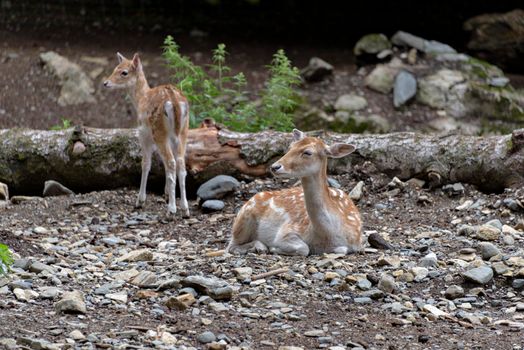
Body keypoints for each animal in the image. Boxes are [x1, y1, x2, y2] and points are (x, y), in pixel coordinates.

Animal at [104, 52, 190, 217]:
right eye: (115, 68)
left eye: (124, 72)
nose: (105, 83)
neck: (140, 100)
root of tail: (175, 102)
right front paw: (166, 194)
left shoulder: (143, 134)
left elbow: (145, 163)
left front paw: (140, 201)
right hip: (183, 132)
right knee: (181, 164)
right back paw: (185, 209)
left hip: (158, 132)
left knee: (171, 162)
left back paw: (172, 209)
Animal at [227, 129, 362, 254]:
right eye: (290, 147)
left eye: (308, 152)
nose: (274, 167)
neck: (327, 235)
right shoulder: (288, 230)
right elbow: (304, 248)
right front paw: (274, 248)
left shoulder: (356, 243)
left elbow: (342, 249)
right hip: (244, 218)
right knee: (231, 246)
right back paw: (260, 247)